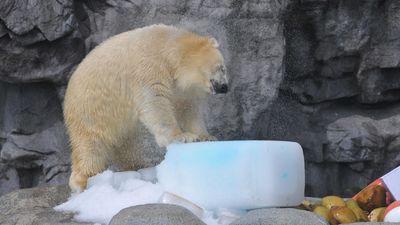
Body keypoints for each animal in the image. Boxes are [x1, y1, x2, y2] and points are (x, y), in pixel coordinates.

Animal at [63, 25, 228, 193]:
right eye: (221, 68)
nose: (225, 87)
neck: (167, 46)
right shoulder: (149, 68)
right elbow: (155, 102)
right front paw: (182, 136)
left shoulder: (181, 91)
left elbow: (188, 109)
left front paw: (206, 136)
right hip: (91, 111)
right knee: (92, 146)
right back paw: (83, 181)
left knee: (125, 145)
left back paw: (136, 167)